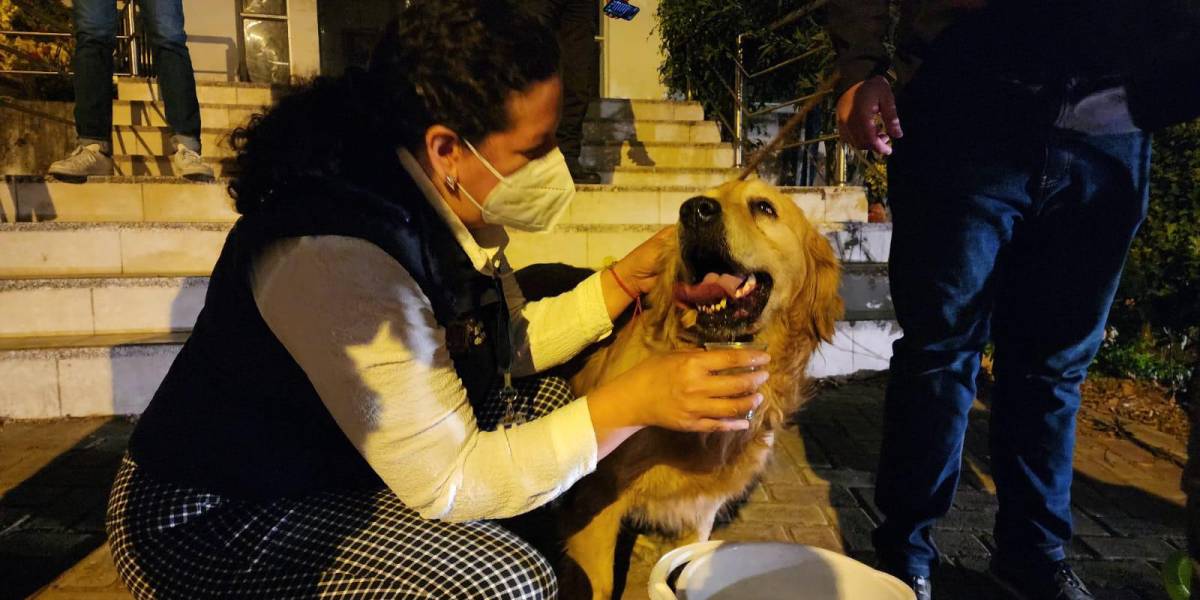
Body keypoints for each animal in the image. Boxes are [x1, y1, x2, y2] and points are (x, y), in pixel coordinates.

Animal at [556, 178, 840, 600]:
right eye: (701, 199)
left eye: (764, 207)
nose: (694, 210)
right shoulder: (595, 498)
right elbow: (599, 583)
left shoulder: (700, 510)